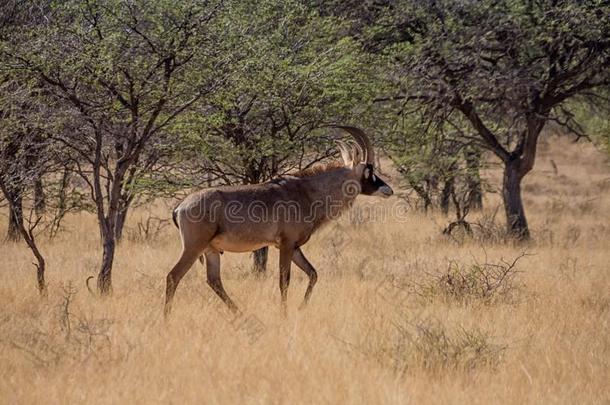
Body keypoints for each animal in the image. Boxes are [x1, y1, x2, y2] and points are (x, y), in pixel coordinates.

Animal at [164, 124, 392, 314]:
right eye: (369, 170)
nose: (388, 190)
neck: (307, 192)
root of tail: (180, 207)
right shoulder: (285, 244)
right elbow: (285, 281)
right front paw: (284, 314)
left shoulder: (293, 247)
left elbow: (313, 273)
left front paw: (301, 308)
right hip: (193, 247)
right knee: (173, 276)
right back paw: (167, 319)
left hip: (211, 250)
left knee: (214, 281)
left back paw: (240, 314)